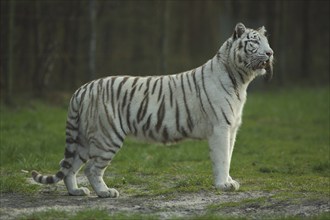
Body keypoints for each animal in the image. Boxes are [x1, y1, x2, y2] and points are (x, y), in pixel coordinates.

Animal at [32, 23, 274, 199]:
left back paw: (76, 191)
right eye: (254, 42)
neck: (241, 80)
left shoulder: (232, 129)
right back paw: (105, 192)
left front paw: (229, 181)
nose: (270, 53)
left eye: (266, 41)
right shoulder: (220, 128)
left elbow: (229, 156)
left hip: (83, 138)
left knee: (69, 167)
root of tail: (81, 89)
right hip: (107, 137)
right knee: (91, 168)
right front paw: (223, 185)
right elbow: (222, 158)